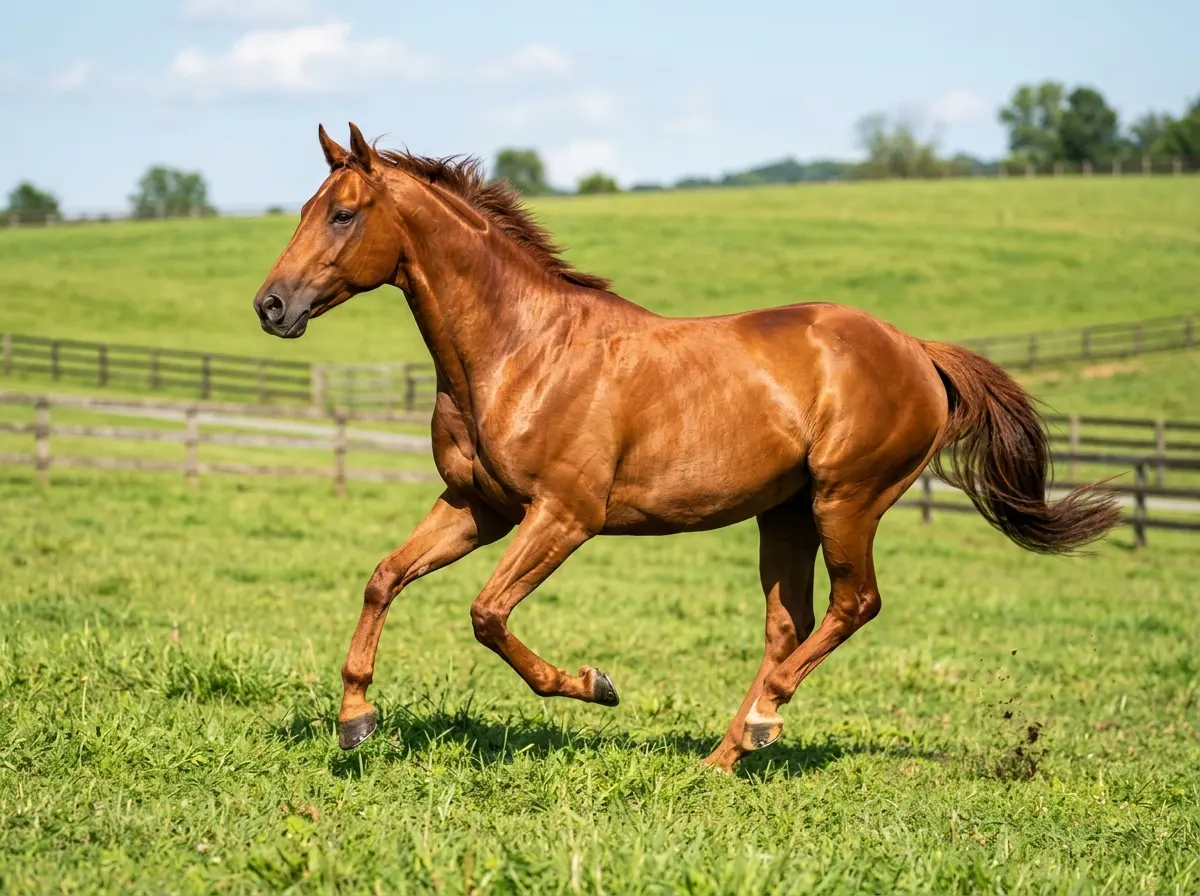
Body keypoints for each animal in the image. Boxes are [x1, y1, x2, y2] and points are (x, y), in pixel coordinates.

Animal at [252, 123, 1119, 773]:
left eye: (343, 214)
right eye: (307, 207)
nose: (271, 306)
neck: (521, 351)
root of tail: (915, 349)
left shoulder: (562, 515)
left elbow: (487, 615)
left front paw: (597, 684)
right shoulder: (479, 507)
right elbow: (383, 578)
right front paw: (355, 719)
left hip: (847, 500)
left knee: (854, 605)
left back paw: (763, 722)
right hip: (786, 513)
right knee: (790, 624)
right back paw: (723, 756)